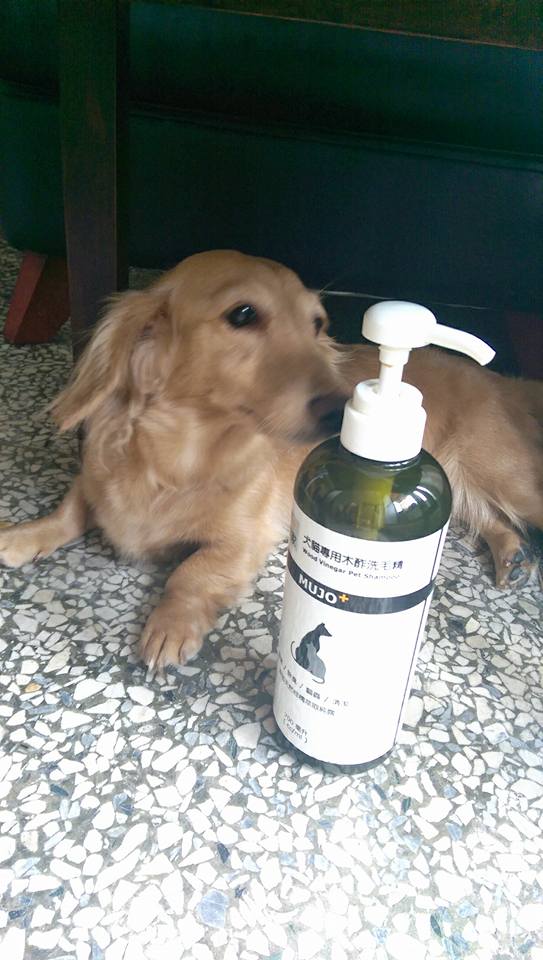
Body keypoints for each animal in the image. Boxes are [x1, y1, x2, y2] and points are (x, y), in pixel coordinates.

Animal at [1, 251, 542, 671]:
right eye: (242, 314)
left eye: (317, 323)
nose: (339, 410)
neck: (178, 463)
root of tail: (503, 382)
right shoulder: (97, 480)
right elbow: (69, 511)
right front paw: (24, 535)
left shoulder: (246, 539)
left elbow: (190, 573)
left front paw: (169, 626)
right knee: (485, 516)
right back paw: (512, 555)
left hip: (508, 477)